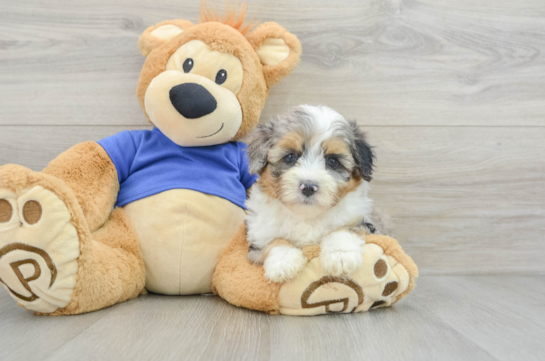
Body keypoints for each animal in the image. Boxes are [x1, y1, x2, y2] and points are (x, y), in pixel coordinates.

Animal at [242, 104, 382, 282]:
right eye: (290, 157)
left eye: (333, 161)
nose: (308, 187)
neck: (307, 215)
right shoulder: (258, 237)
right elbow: (274, 241)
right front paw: (283, 262)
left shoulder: (365, 222)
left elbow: (345, 228)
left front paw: (340, 255)